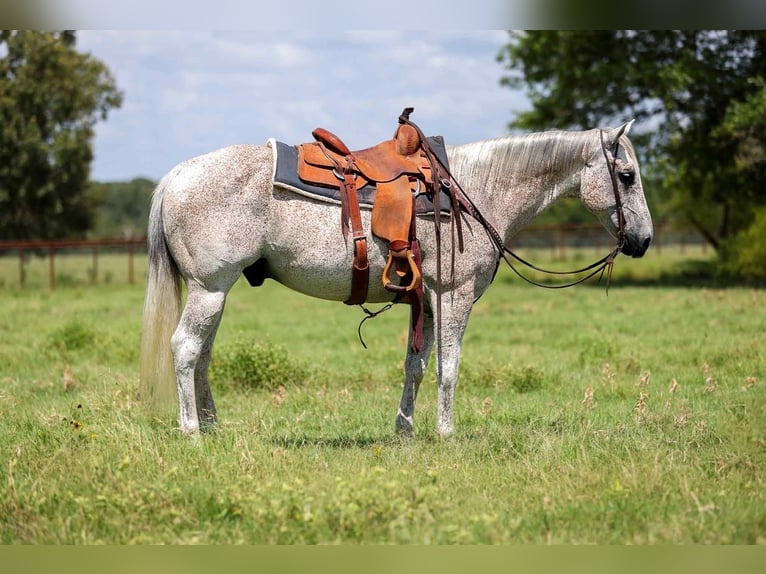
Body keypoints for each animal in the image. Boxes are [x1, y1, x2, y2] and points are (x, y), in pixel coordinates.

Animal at [139, 120, 653, 436]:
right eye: (627, 175)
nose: (643, 240)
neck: (473, 189)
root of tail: (175, 176)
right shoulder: (453, 297)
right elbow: (449, 368)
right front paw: (446, 433)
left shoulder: (424, 301)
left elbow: (416, 366)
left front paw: (405, 430)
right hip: (209, 290)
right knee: (185, 349)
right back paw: (191, 430)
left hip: (215, 293)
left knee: (202, 356)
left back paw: (212, 426)